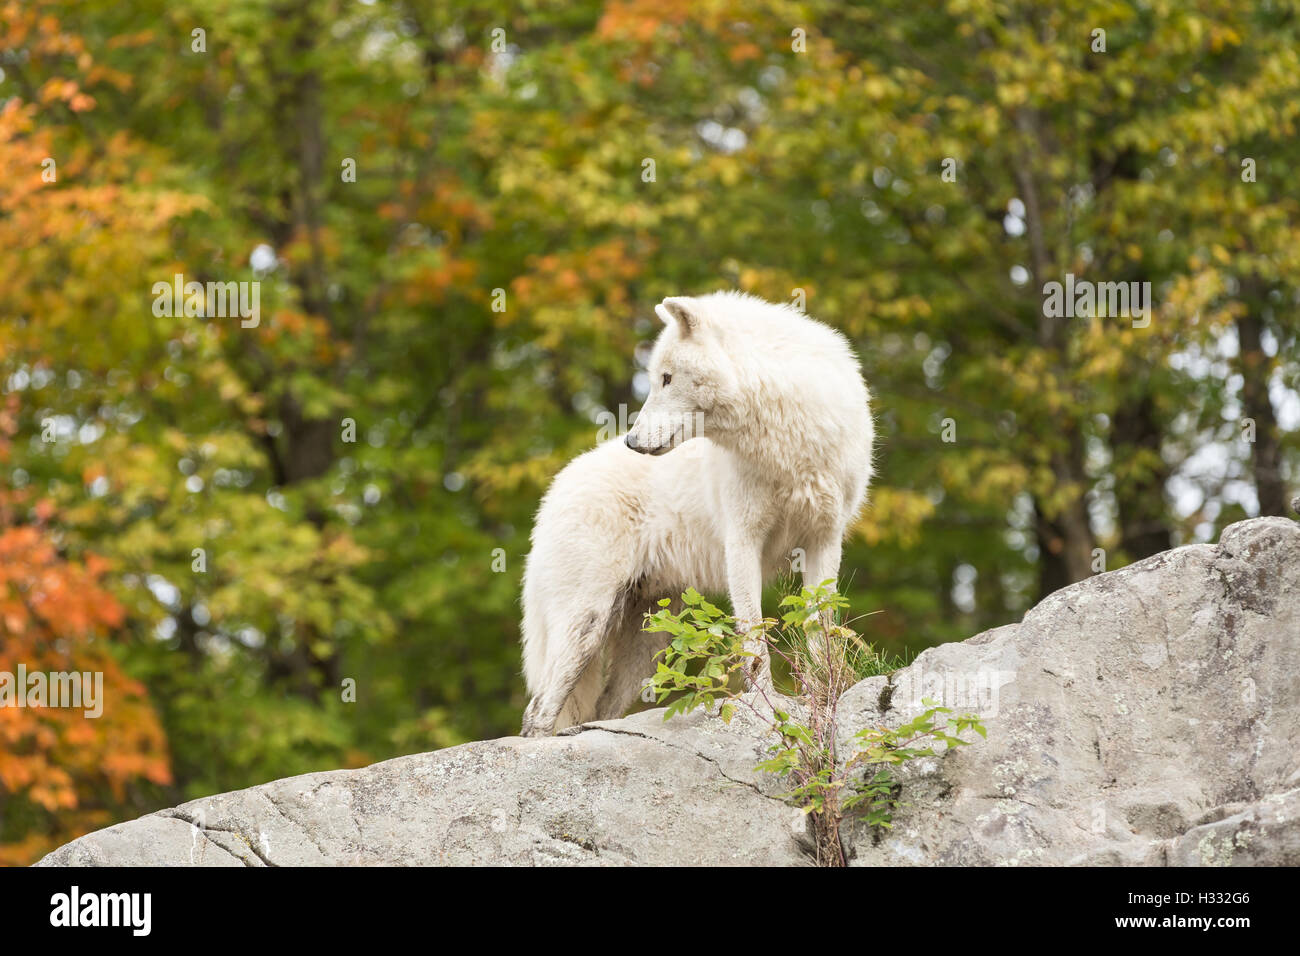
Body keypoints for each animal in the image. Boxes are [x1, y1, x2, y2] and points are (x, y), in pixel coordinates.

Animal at [520, 291, 874, 737]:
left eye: (667, 378)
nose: (632, 441)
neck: (786, 442)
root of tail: (553, 492)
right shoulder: (742, 541)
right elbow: (754, 637)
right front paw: (770, 706)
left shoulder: (824, 539)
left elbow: (819, 628)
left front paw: (824, 697)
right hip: (587, 623)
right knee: (537, 711)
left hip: (649, 642)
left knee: (600, 710)